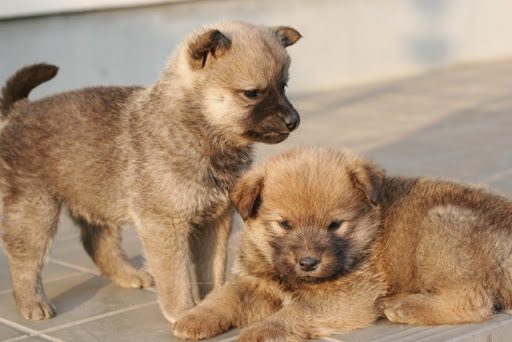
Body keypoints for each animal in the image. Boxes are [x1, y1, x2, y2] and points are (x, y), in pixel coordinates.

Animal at [0, 22, 302, 324]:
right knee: (23, 258)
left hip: (93, 194)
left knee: (96, 241)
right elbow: (175, 276)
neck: (198, 130)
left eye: (283, 86)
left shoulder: (216, 220)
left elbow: (212, 268)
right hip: (36, 210)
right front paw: (183, 311)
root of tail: (19, 111)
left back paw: (128, 275)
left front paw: (212, 305)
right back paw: (32, 302)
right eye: (252, 93)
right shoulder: (164, 224)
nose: (294, 121)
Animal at [174, 147, 512, 342]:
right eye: (284, 224)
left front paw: (263, 330)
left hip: (439, 224)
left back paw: (405, 307)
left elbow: (298, 311)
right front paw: (194, 317)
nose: (308, 263)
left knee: (473, 300)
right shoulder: (255, 281)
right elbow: (225, 297)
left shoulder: (346, 297)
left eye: (335, 225)